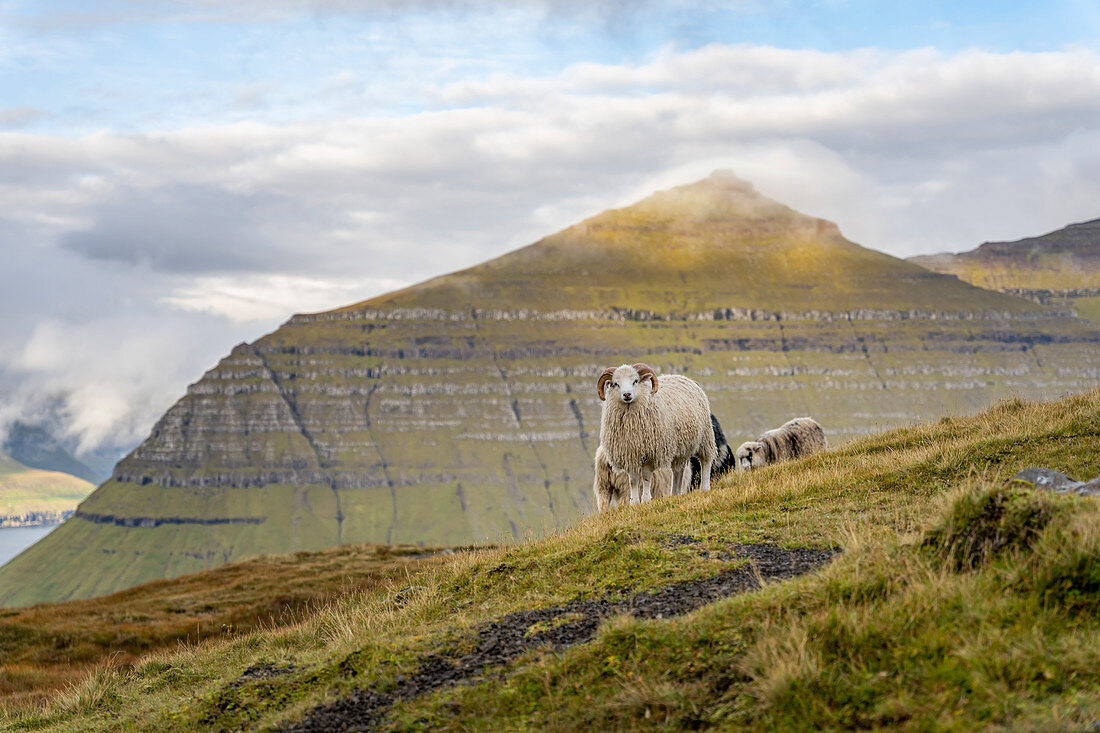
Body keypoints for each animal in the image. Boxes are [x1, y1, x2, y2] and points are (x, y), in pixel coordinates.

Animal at [598, 360, 717, 501]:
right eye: (616, 384)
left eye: (635, 381)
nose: (627, 395)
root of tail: (685, 378)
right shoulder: (631, 454)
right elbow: (633, 480)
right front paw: (634, 502)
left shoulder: (651, 453)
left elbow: (646, 477)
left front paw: (646, 499)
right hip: (681, 446)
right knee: (678, 469)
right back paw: (675, 492)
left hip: (705, 436)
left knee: (706, 460)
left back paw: (705, 487)